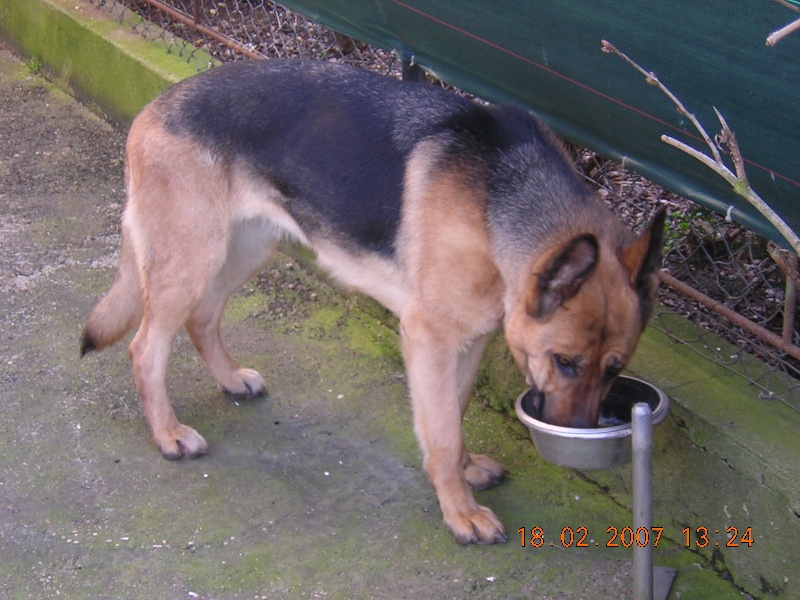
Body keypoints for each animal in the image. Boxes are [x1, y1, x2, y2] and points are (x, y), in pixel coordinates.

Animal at [81, 58, 664, 548]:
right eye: (564, 362)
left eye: (615, 371)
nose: (579, 441)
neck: (501, 198)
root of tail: (155, 106)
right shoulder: (430, 338)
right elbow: (442, 433)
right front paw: (460, 511)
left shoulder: (468, 339)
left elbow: (452, 414)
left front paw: (465, 472)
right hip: (192, 259)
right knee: (145, 347)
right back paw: (168, 434)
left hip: (246, 248)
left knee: (203, 318)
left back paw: (229, 380)